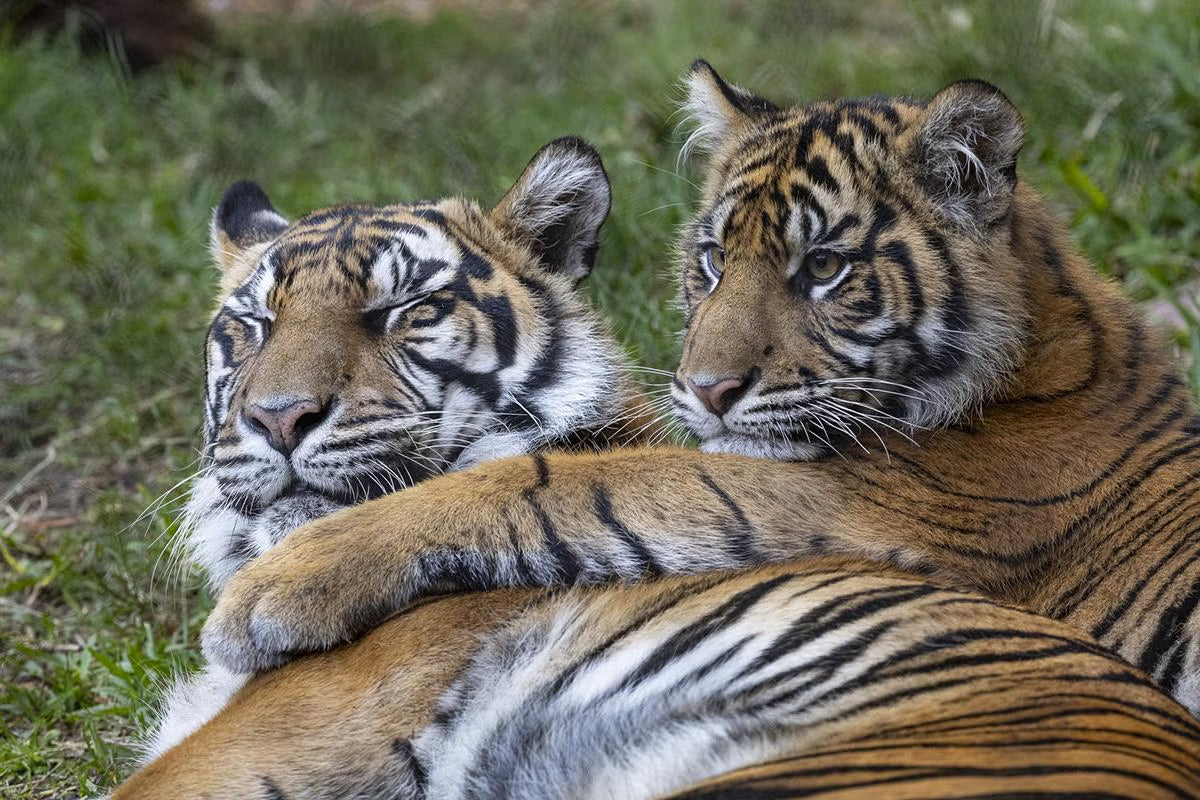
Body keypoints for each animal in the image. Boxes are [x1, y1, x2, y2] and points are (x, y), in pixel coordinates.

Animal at [197, 61, 1200, 721]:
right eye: (715, 260)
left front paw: (270, 592)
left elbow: (551, 483)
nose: (706, 390)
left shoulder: (860, 503)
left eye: (824, 267)